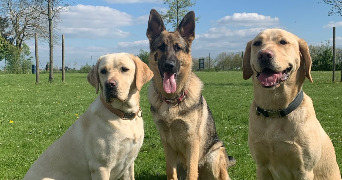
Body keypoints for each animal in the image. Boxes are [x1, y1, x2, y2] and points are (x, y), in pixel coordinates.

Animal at [24, 53, 152, 180]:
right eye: (103, 71)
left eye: (124, 69)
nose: (109, 84)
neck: (123, 115)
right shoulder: (100, 167)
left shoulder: (129, 163)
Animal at [144, 9, 235, 180]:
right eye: (161, 47)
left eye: (178, 48)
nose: (169, 65)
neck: (172, 101)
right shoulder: (166, 142)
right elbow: (170, 171)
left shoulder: (192, 141)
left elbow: (192, 172)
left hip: (215, 156)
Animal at [242, 28, 340, 179]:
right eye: (257, 43)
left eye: (283, 42)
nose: (264, 54)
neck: (275, 109)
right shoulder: (261, 166)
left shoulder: (304, 169)